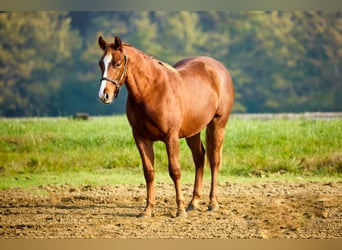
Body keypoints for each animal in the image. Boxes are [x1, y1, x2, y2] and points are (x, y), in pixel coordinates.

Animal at [97, 35, 234, 217]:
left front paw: (180, 210)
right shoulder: (141, 139)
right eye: (101, 63)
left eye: (117, 63)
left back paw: (212, 202)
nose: (104, 95)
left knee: (214, 159)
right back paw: (194, 202)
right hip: (193, 131)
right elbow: (148, 172)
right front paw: (147, 209)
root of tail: (219, 68)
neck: (151, 91)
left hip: (217, 124)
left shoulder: (171, 137)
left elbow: (175, 171)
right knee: (199, 158)